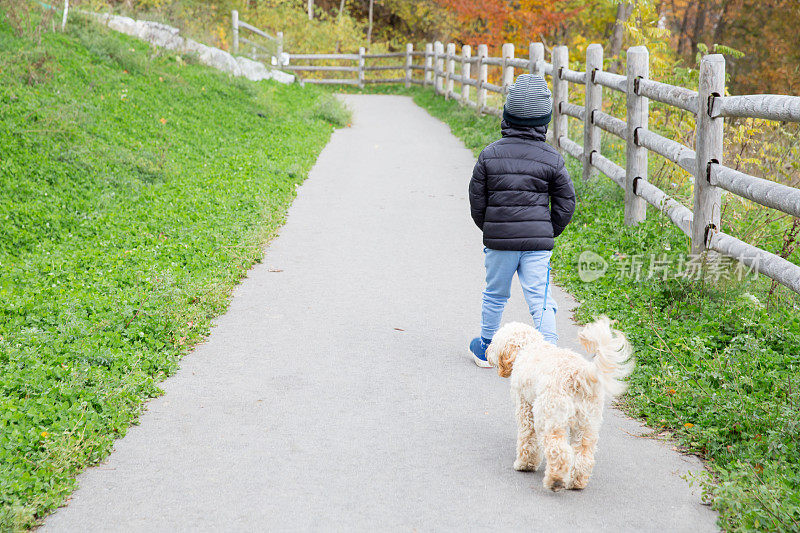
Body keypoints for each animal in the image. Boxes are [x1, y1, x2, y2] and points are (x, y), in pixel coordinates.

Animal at [484, 314, 636, 492]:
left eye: (494, 342)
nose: (486, 352)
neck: (529, 347)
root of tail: (579, 374)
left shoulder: (525, 408)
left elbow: (527, 438)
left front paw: (525, 464)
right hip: (587, 424)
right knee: (584, 455)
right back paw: (576, 482)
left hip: (549, 418)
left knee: (559, 450)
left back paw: (555, 480)